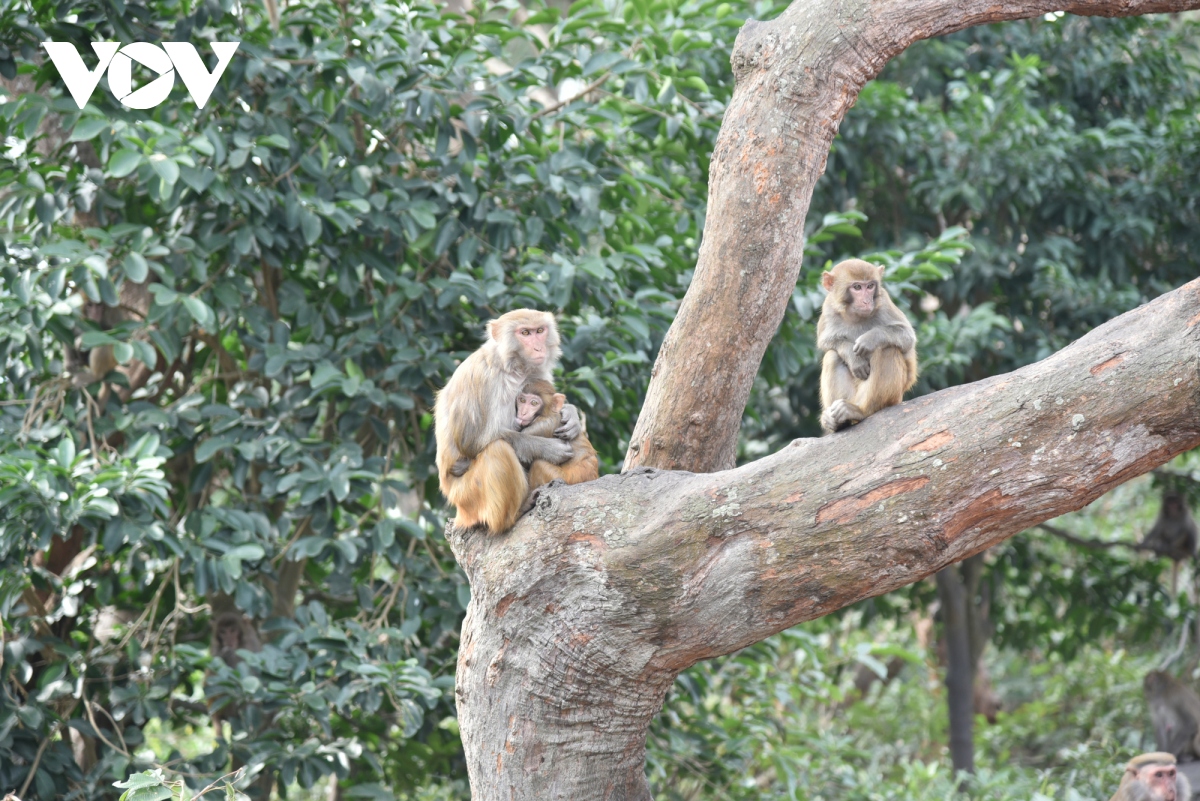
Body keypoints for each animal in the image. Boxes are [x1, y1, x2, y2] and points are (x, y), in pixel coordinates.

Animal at [816, 257, 916, 434]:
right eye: (857, 287)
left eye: (870, 286)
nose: (867, 301)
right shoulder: (829, 307)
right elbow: (825, 341)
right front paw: (852, 355)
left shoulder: (884, 301)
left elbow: (907, 336)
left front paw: (870, 338)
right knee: (832, 356)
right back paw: (835, 421)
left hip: (893, 397)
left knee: (887, 349)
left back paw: (861, 411)